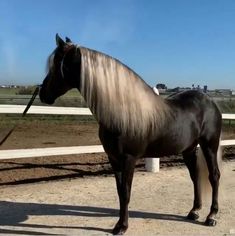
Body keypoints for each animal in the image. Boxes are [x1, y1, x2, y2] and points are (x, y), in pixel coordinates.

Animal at [40, 34, 222, 235]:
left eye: (57, 64)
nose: (42, 93)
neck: (121, 112)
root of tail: (210, 101)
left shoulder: (129, 158)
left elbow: (126, 192)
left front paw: (122, 226)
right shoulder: (113, 158)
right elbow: (120, 192)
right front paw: (119, 224)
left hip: (209, 145)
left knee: (214, 175)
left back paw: (211, 216)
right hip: (189, 149)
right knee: (195, 175)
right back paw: (194, 211)